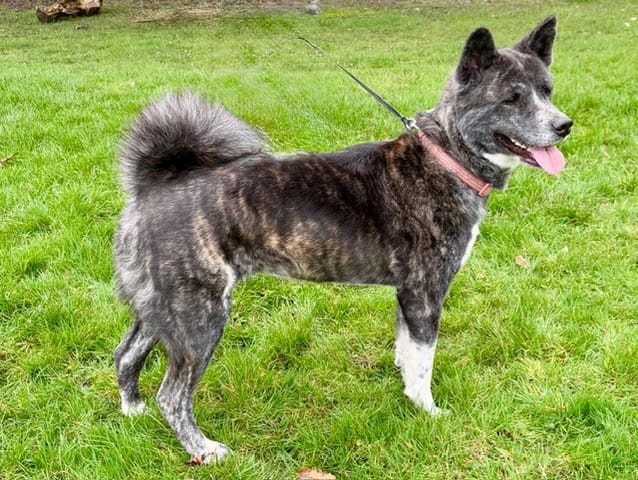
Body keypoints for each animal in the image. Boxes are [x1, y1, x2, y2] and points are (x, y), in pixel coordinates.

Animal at [113, 16, 572, 463]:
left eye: (547, 90)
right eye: (511, 98)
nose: (564, 125)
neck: (445, 159)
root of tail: (155, 184)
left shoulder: (406, 293)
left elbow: (407, 349)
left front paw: (406, 391)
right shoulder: (425, 292)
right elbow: (424, 359)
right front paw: (428, 411)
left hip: (161, 306)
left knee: (126, 354)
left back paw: (132, 411)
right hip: (199, 314)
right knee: (173, 396)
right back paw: (204, 449)